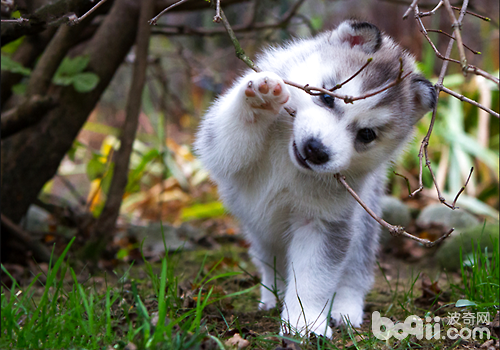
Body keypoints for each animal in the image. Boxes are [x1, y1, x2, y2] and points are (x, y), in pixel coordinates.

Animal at [193, 20, 436, 338]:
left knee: (354, 272)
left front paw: (304, 322)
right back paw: (271, 297)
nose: (316, 150)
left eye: (367, 134)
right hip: (260, 233)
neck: (290, 161)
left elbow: (313, 278)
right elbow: (226, 141)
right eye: (327, 96)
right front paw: (260, 103)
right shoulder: (220, 150)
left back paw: (346, 310)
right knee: (271, 262)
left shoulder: (323, 222)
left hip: (363, 224)